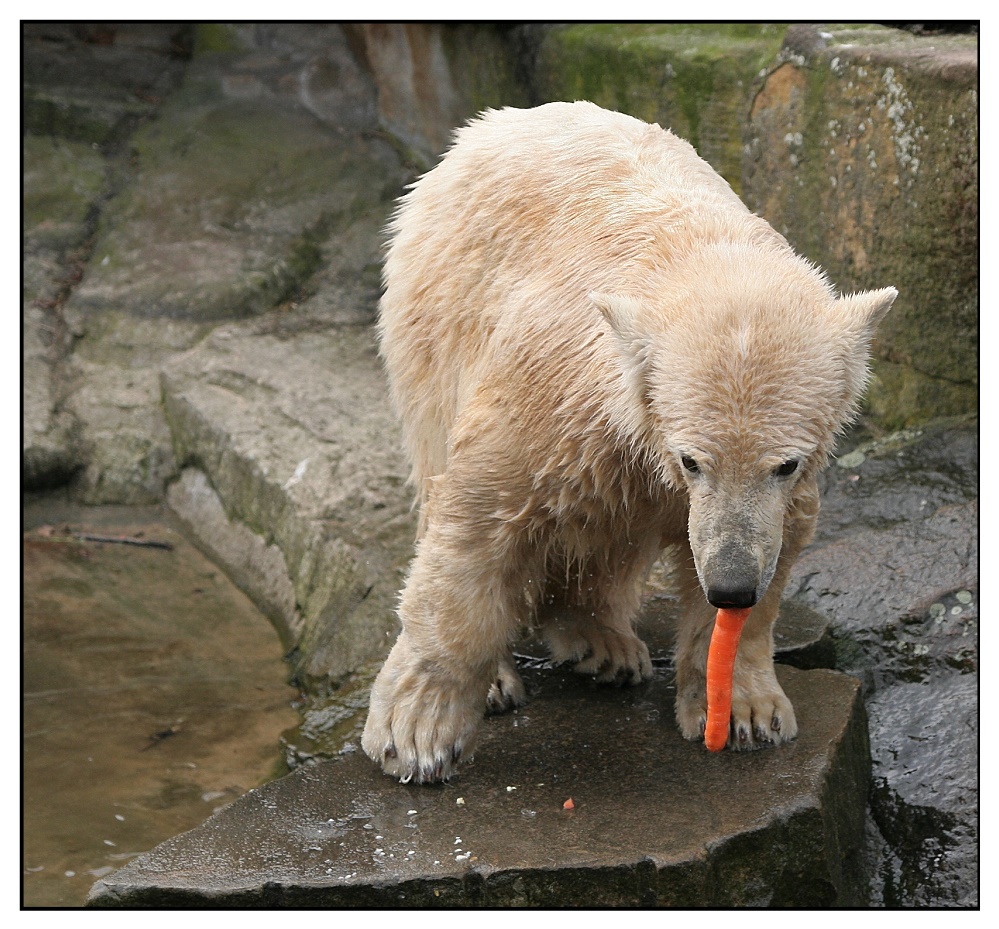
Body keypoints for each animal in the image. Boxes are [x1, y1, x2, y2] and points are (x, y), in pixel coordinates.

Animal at [362, 101, 900, 784]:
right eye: (693, 460)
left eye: (786, 464)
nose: (730, 586)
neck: (694, 251)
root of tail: (487, 126)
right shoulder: (557, 392)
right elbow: (479, 517)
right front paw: (417, 735)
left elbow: (774, 547)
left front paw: (744, 711)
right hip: (438, 315)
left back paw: (605, 644)